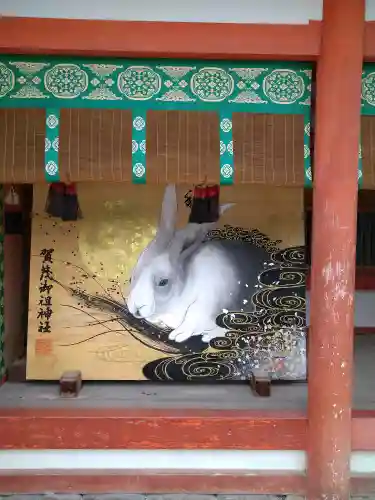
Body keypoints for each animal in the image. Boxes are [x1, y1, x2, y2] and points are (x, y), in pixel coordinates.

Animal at [128, 184, 268, 344]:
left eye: (163, 282)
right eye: (132, 276)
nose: (135, 308)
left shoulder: (209, 300)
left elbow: (195, 315)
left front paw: (178, 335)